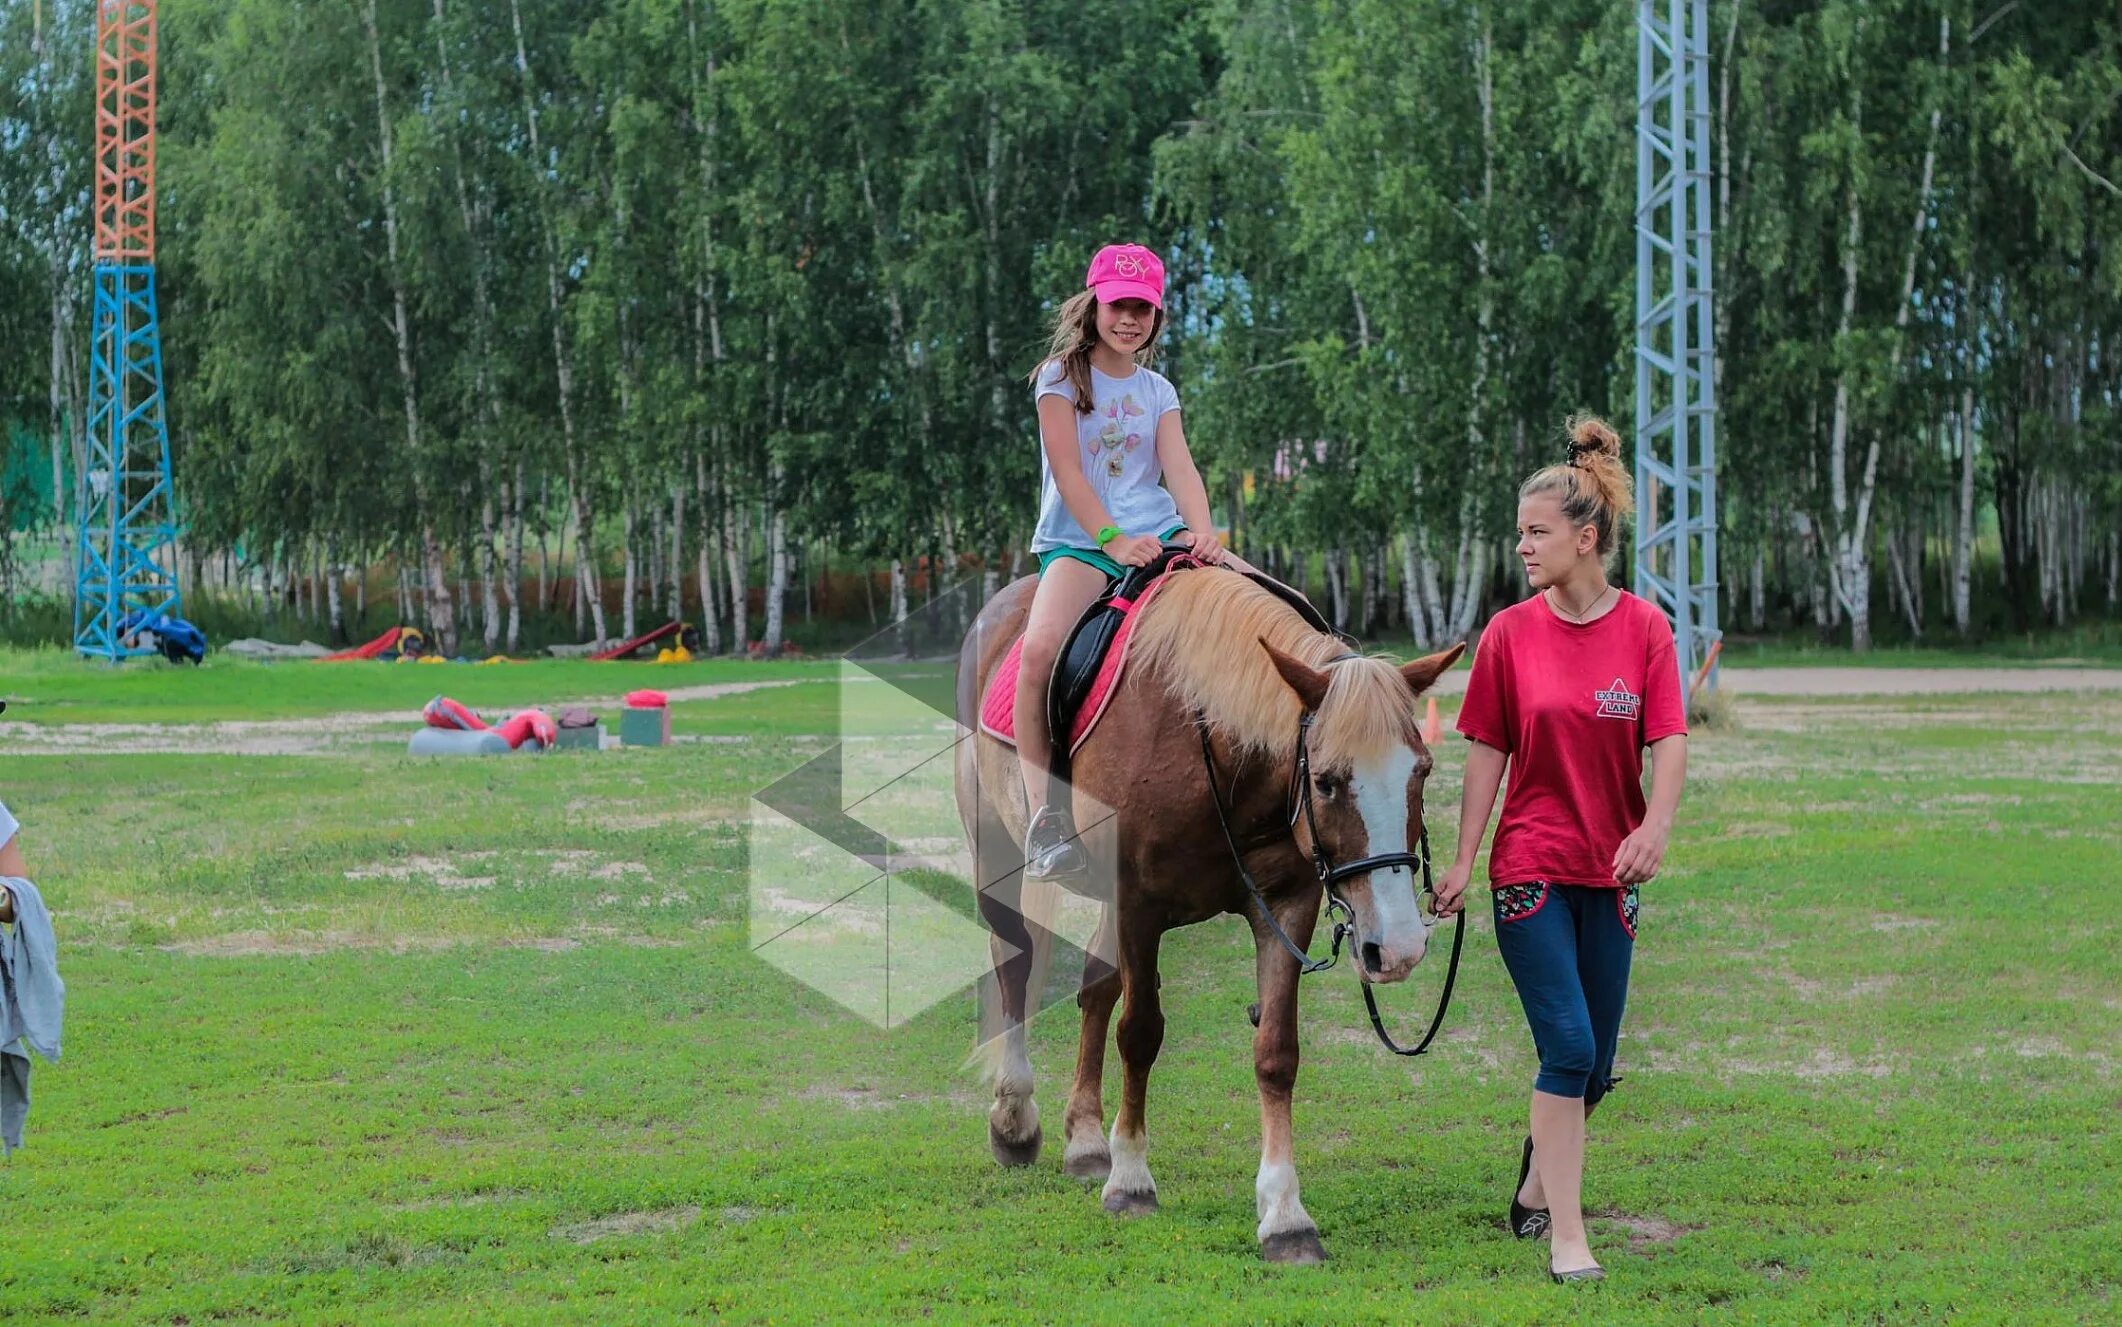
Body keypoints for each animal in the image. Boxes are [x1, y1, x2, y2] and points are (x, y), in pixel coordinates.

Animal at [959, 564, 1468, 1256]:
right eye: (1326, 781)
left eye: (1423, 770)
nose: (1399, 948)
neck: (1214, 749)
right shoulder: (1138, 905)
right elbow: (1140, 1033)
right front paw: (1131, 1181)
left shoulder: (1287, 905)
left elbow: (1277, 1052)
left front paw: (1285, 1214)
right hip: (996, 849)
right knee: (1016, 966)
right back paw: (1014, 1120)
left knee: (1095, 988)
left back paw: (1085, 1139)